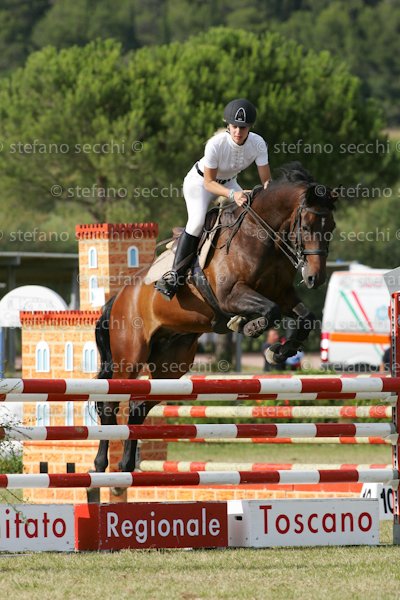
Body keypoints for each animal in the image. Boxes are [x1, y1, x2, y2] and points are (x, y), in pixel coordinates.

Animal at [94, 162, 337, 481]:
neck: (261, 237)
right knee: (110, 404)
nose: (314, 278)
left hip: (171, 365)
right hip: (130, 357)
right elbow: (269, 311)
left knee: (137, 406)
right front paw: (247, 325)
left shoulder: (283, 295)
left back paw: (125, 468)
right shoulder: (230, 296)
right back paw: (102, 466)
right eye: (307, 226)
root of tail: (119, 296)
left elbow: (306, 318)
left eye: (331, 228)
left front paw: (279, 350)